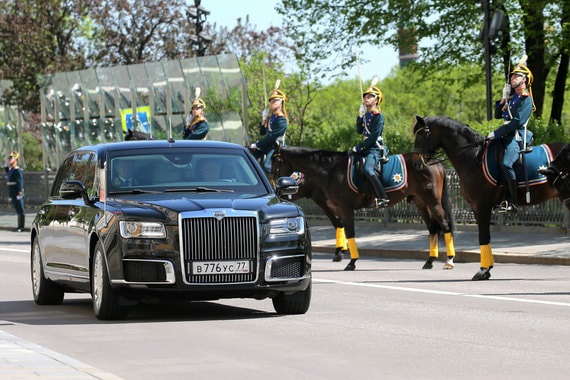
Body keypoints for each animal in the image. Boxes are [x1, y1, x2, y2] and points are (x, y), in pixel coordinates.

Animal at [268, 144, 454, 272]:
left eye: (274, 160)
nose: (275, 184)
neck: (330, 170)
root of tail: (434, 162)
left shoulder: (343, 207)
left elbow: (349, 231)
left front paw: (351, 261)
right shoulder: (334, 205)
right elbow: (342, 228)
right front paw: (344, 255)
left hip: (432, 201)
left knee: (444, 225)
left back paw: (449, 260)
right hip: (420, 202)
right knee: (433, 228)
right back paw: (430, 261)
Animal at [410, 115, 564, 280]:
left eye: (421, 134)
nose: (415, 163)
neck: (473, 158)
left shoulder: (482, 205)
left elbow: (483, 236)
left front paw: (483, 270)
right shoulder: (475, 208)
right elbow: (485, 237)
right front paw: (487, 269)